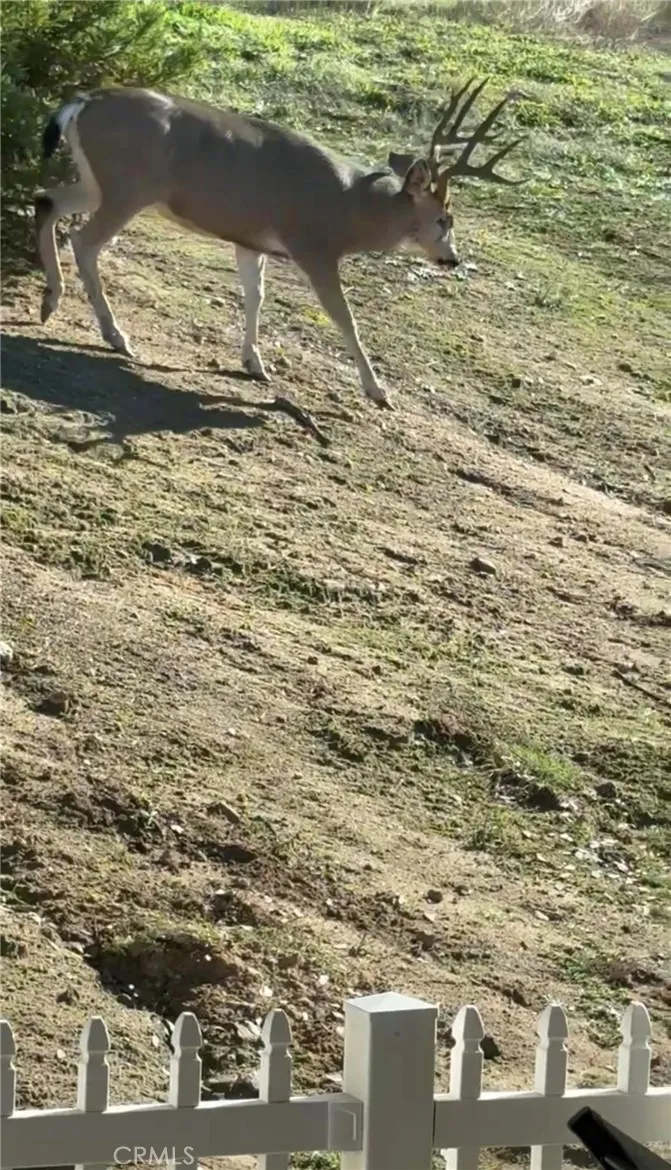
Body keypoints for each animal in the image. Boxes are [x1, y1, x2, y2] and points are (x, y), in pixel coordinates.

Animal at [35, 78, 523, 411]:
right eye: (444, 218)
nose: (451, 259)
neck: (350, 208)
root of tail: (83, 102)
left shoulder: (250, 240)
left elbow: (256, 295)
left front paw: (254, 363)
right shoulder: (313, 247)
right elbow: (345, 318)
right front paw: (378, 391)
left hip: (98, 181)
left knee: (47, 200)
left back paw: (50, 301)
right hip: (128, 186)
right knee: (84, 240)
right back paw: (116, 336)